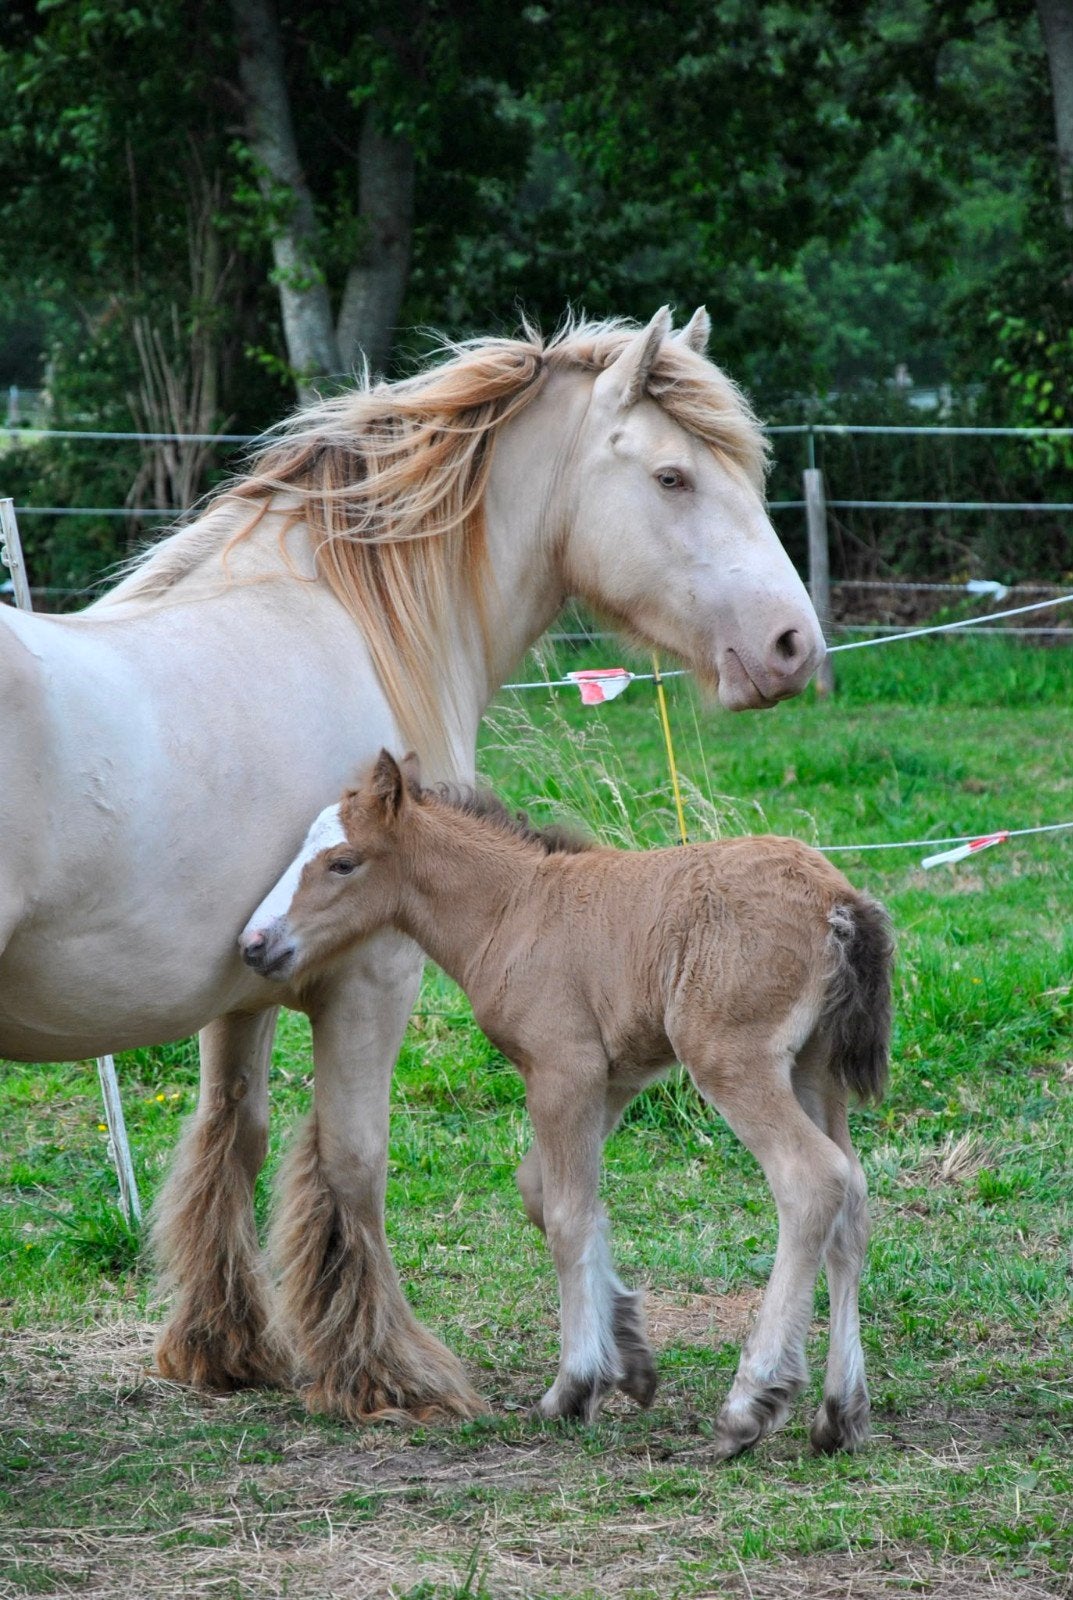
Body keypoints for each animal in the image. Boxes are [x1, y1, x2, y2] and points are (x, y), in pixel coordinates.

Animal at [0, 307, 826, 1423]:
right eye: (671, 477)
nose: (792, 646)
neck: (342, 616)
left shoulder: (247, 978)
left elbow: (231, 1137)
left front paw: (228, 1347)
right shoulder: (370, 973)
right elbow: (352, 1162)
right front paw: (390, 1369)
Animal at [239, 751, 893, 1456]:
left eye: (343, 863)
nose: (254, 944)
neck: (514, 908)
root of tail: (839, 901)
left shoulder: (561, 1068)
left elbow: (565, 1215)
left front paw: (574, 1387)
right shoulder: (610, 1079)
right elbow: (550, 1193)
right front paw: (629, 1353)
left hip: (732, 1058)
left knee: (811, 1178)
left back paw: (752, 1400)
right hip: (814, 1069)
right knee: (853, 1196)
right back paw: (841, 1413)